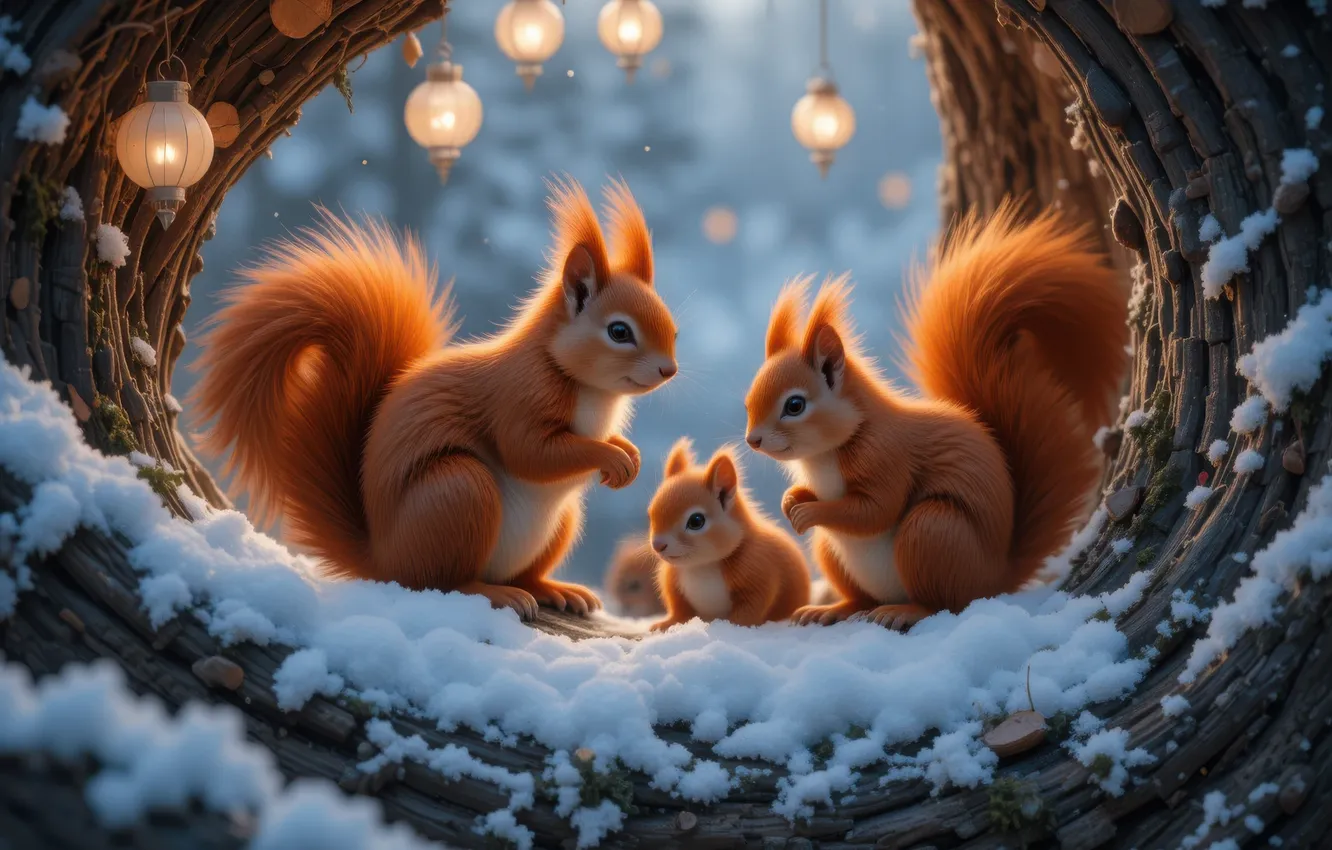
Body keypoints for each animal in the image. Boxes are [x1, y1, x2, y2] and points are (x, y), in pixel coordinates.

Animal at [191, 177, 678, 621]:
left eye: (671, 325)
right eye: (619, 331)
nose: (668, 370)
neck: (590, 387)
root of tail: (383, 560)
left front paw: (628, 453)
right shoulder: (518, 396)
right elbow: (530, 453)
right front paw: (611, 457)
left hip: (560, 520)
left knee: (521, 574)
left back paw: (552, 589)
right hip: (458, 493)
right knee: (441, 583)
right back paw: (495, 593)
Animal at [646, 438, 811, 630]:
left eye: (696, 521)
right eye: (651, 514)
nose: (658, 545)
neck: (701, 566)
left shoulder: (758, 572)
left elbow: (751, 610)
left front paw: (729, 627)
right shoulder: (673, 581)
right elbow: (679, 610)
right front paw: (667, 624)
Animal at [743, 201, 1127, 631]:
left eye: (795, 405)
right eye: (748, 399)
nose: (752, 440)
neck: (826, 451)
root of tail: (995, 577)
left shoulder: (886, 457)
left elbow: (874, 511)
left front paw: (810, 510)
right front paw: (791, 499)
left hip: (932, 532)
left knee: (945, 603)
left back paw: (904, 611)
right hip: (833, 550)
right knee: (862, 598)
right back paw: (830, 609)